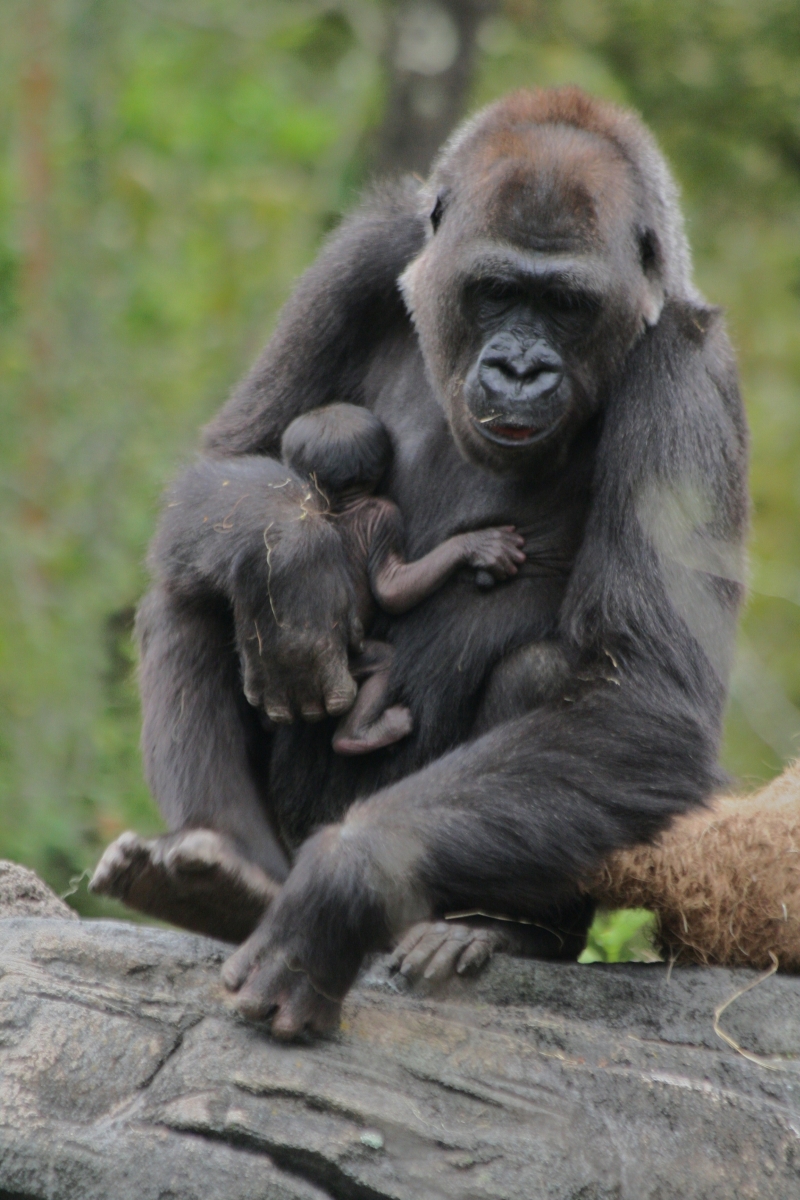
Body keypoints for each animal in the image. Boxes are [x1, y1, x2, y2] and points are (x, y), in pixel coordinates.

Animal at [91, 87, 748, 1039]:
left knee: (550, 675)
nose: (519, 368)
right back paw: (222, 864)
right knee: (200, 582)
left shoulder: (688, 370)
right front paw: (292, 559)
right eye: (496, 290)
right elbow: (228, 461)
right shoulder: (364, 256)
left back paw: (491, 929)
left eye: (567, 304)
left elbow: (645, 690)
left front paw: (346, 884)